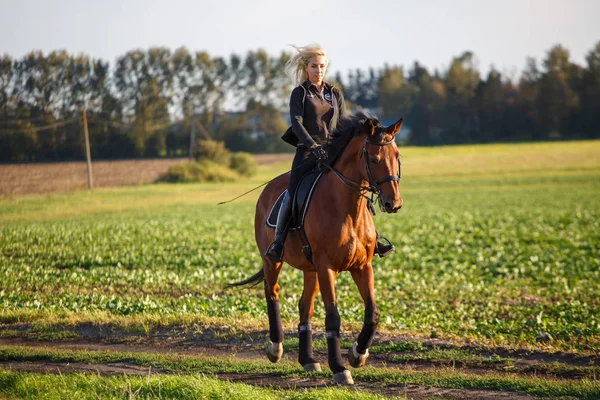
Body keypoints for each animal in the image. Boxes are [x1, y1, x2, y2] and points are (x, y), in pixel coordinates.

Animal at [229, 113, 404, 384]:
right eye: (374, 159)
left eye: (396, 156)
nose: (393, 203)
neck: (348, 209)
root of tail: (268, 189)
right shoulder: (326, 268)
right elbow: (333, 317)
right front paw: (340, 368)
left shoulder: (362, 266)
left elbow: (372, 313)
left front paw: (357, 354)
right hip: (273, 261)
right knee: (272, 293)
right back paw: (275, 347)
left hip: (309, 269)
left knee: (304, 306)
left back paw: (308, 359)